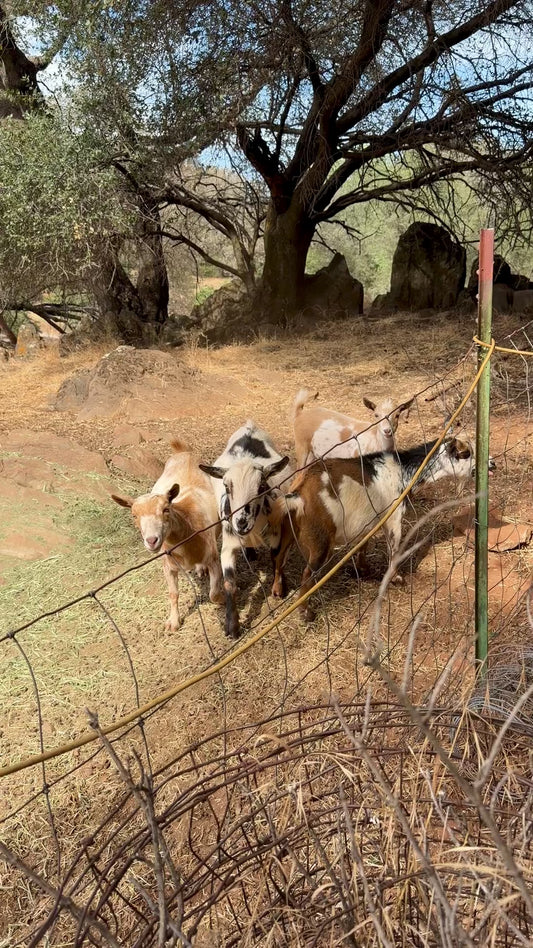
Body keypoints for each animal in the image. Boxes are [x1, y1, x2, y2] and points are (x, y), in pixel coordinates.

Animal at [111, 439, 223, 632]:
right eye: (134, 515)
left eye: (165, 509)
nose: (151, 540)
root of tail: (184, 452)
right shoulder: (168, 565)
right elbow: (173, 593)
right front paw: (173, 622)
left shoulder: (213, 558)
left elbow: (214, 594)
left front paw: (223, 599)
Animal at [199, 420, 290, 638]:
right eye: (227, 486)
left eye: (261, 487)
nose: (241, 522)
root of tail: (250, 425)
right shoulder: (228, 544)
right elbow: (229, 583)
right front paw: (232, 627)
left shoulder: (276, 533)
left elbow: (277, 559)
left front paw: (278, 589)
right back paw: (250, 553)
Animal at [271, 436, 481, 622]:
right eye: (466, 453)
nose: (487, 465)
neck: (404, 471)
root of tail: (298, 495)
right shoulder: (393, 517)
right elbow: (394, 549)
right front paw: (396, 578)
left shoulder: (369, 521)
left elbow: (364, 544)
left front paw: (363, 569)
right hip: (319, 542)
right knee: (307, 575)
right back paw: (305, 613)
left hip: (287, 532)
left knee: (279, 558)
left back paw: (278, 591)